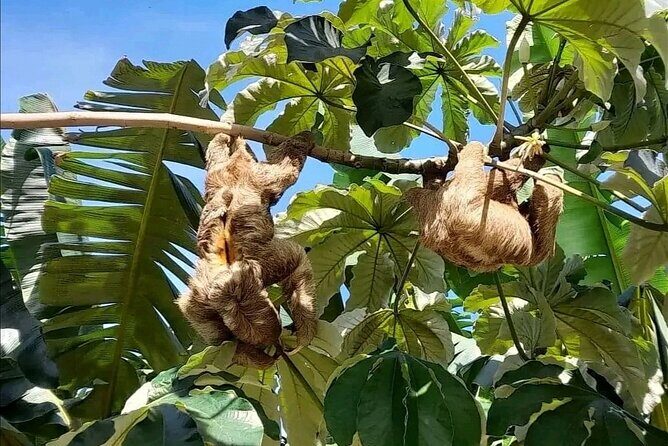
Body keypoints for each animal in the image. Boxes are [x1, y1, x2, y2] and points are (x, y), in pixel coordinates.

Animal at [177, 132, 317, 369]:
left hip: (256, 177)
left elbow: (298, 264)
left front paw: (303, 338)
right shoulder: (202, 299)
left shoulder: (267, 264)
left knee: (285, 170)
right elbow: (213, 331)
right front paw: (262, 356)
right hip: (221, 179)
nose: (271, 344)